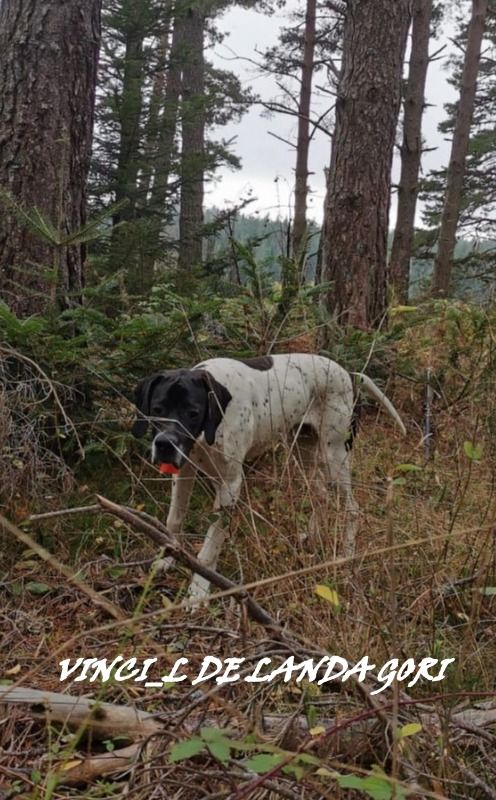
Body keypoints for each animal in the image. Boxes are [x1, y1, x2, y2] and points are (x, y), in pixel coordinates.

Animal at [132, 354, 406, 596]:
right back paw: (311, 536)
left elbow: (210, 546)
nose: (165, 444)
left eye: (193, 412)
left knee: (352, 508)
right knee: (321, 496)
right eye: (157, 408)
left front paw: (198, 592)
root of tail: (347, 373)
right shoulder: (184, 472)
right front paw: (168, 559)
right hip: (302, 450)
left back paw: (346, 554)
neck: (210, 427)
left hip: (334, 457)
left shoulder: (230, 486)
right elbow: (173, 520)